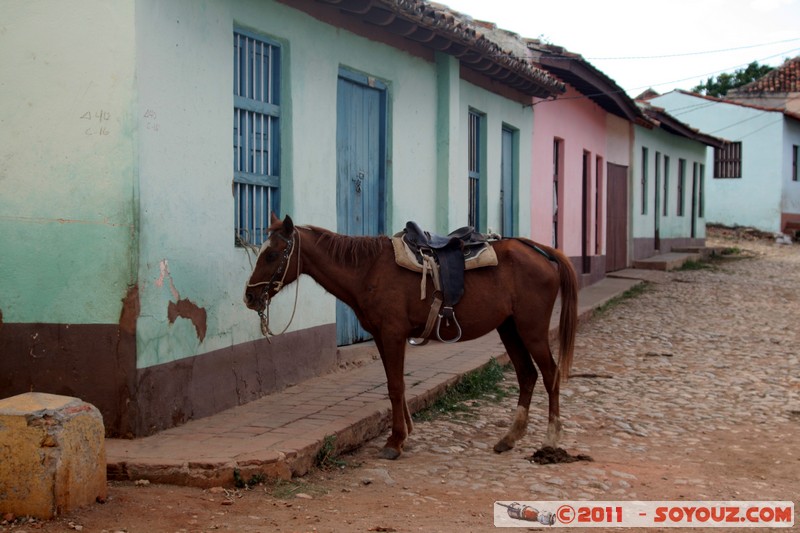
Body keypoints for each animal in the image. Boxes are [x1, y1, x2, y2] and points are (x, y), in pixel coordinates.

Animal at [244, 214, 576, 460]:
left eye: (272, 254)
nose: (249, 296)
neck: (367, 270)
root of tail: (541, 251)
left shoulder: (392, 334)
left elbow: (394, 387)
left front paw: (394, 443)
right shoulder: (383, 336)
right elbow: (398, 385)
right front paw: (404, 434)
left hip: (531, 330)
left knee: (550, 374)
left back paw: (551, 439)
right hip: (509, 328)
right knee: (527, 375)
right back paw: (509, 438)